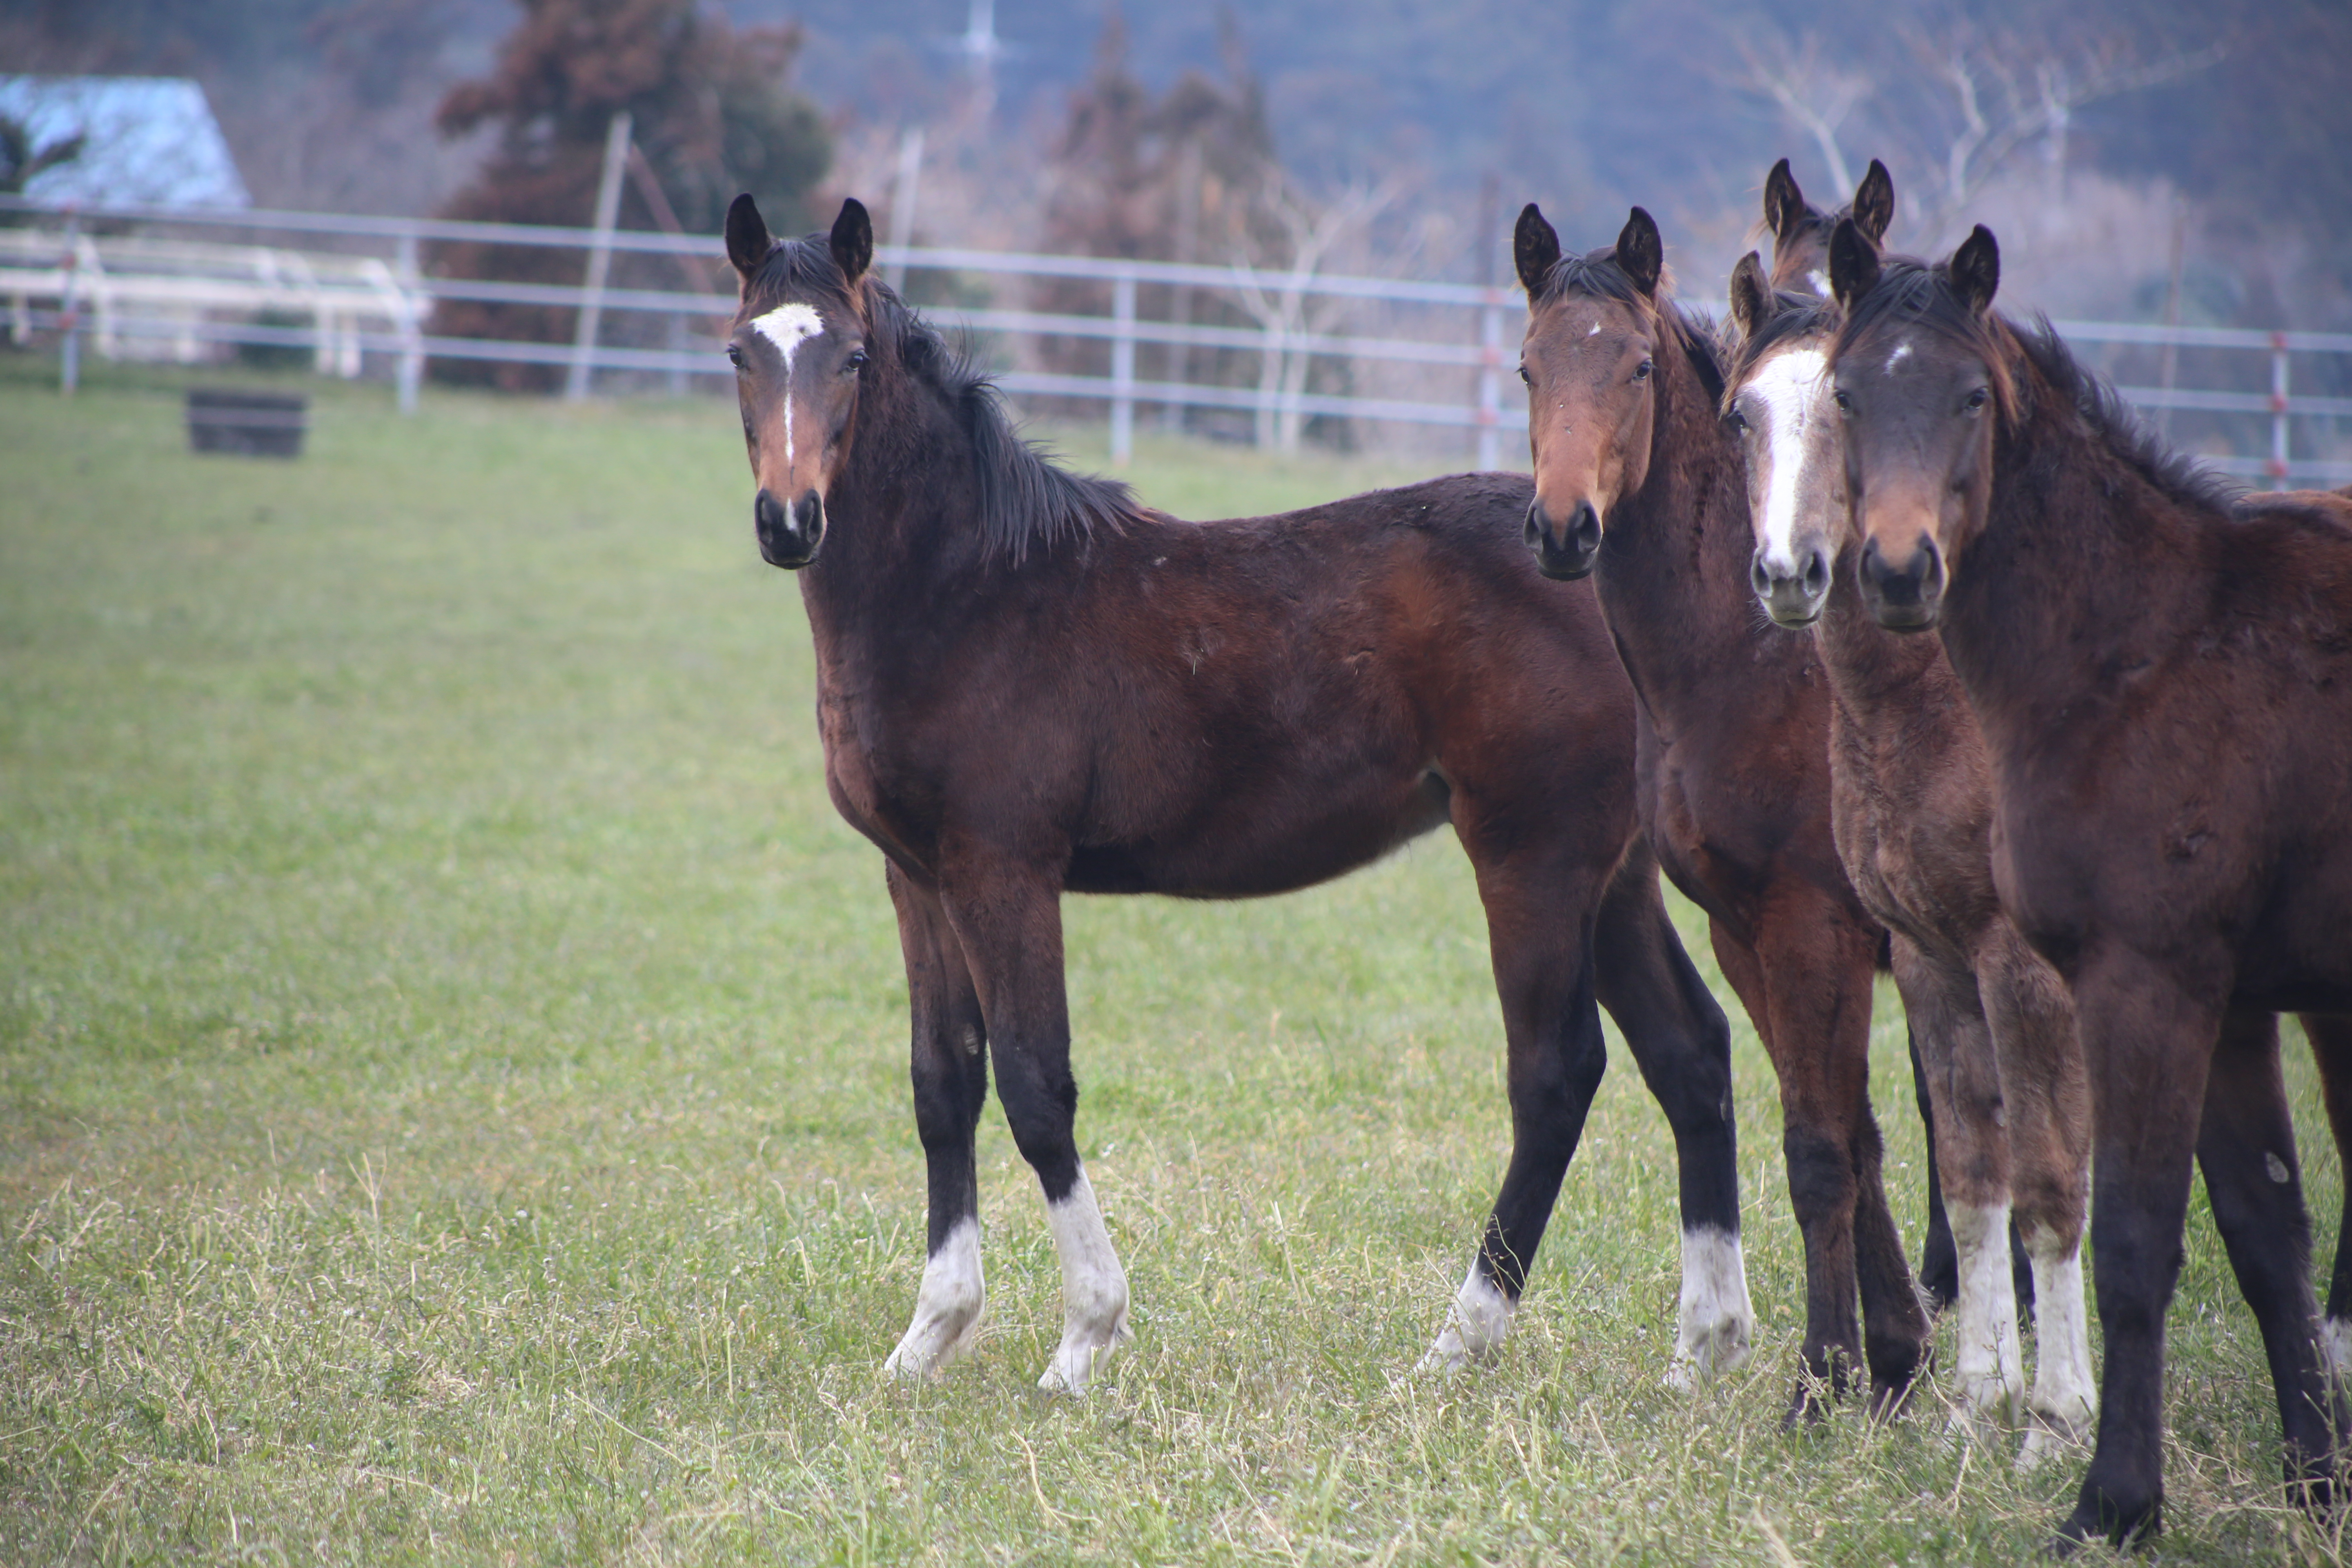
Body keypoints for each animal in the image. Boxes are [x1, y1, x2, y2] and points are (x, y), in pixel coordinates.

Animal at [1505, 202, 1929, 1420]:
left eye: (1637, 368)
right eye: (1529, 367)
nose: (1564, 529)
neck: (1751, 667)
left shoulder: (1810, 929)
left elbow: (1820, 1150)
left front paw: (1821, 1384)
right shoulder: (1743, 930)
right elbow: (1853, 1138)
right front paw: (1894, 1362)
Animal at [1825, 217, 2352, 1542]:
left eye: (1970, 396)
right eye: (1846, 395)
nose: (1897, 571)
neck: (2138, 649)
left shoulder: (2143, 983)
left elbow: (2124, 1238)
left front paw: (2108, 1498)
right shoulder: (2233, 1000)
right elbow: (2262, 1232)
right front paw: (2314, 1487)